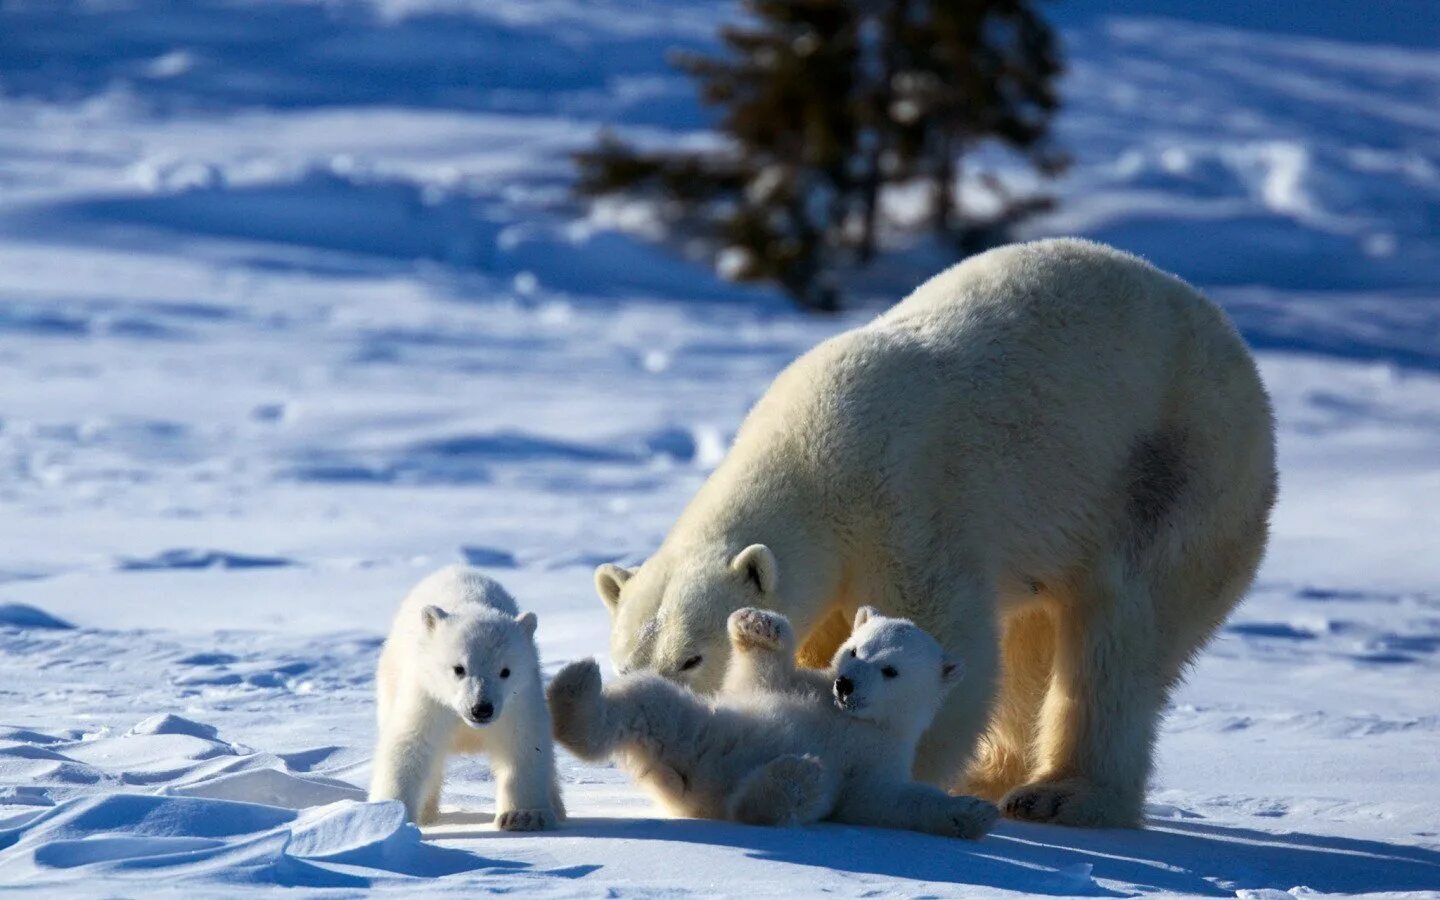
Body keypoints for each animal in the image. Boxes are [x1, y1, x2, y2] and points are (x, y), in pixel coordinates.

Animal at [601, 239, 1278, 829]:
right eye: (625, 662)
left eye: (691, 657)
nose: (651, 696)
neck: (811, 456)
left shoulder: (903, 504)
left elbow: (937, 639)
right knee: (1032, 641)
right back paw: (994, 773)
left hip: (1175, 478)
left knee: (1119, 642)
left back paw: (1064, 795)